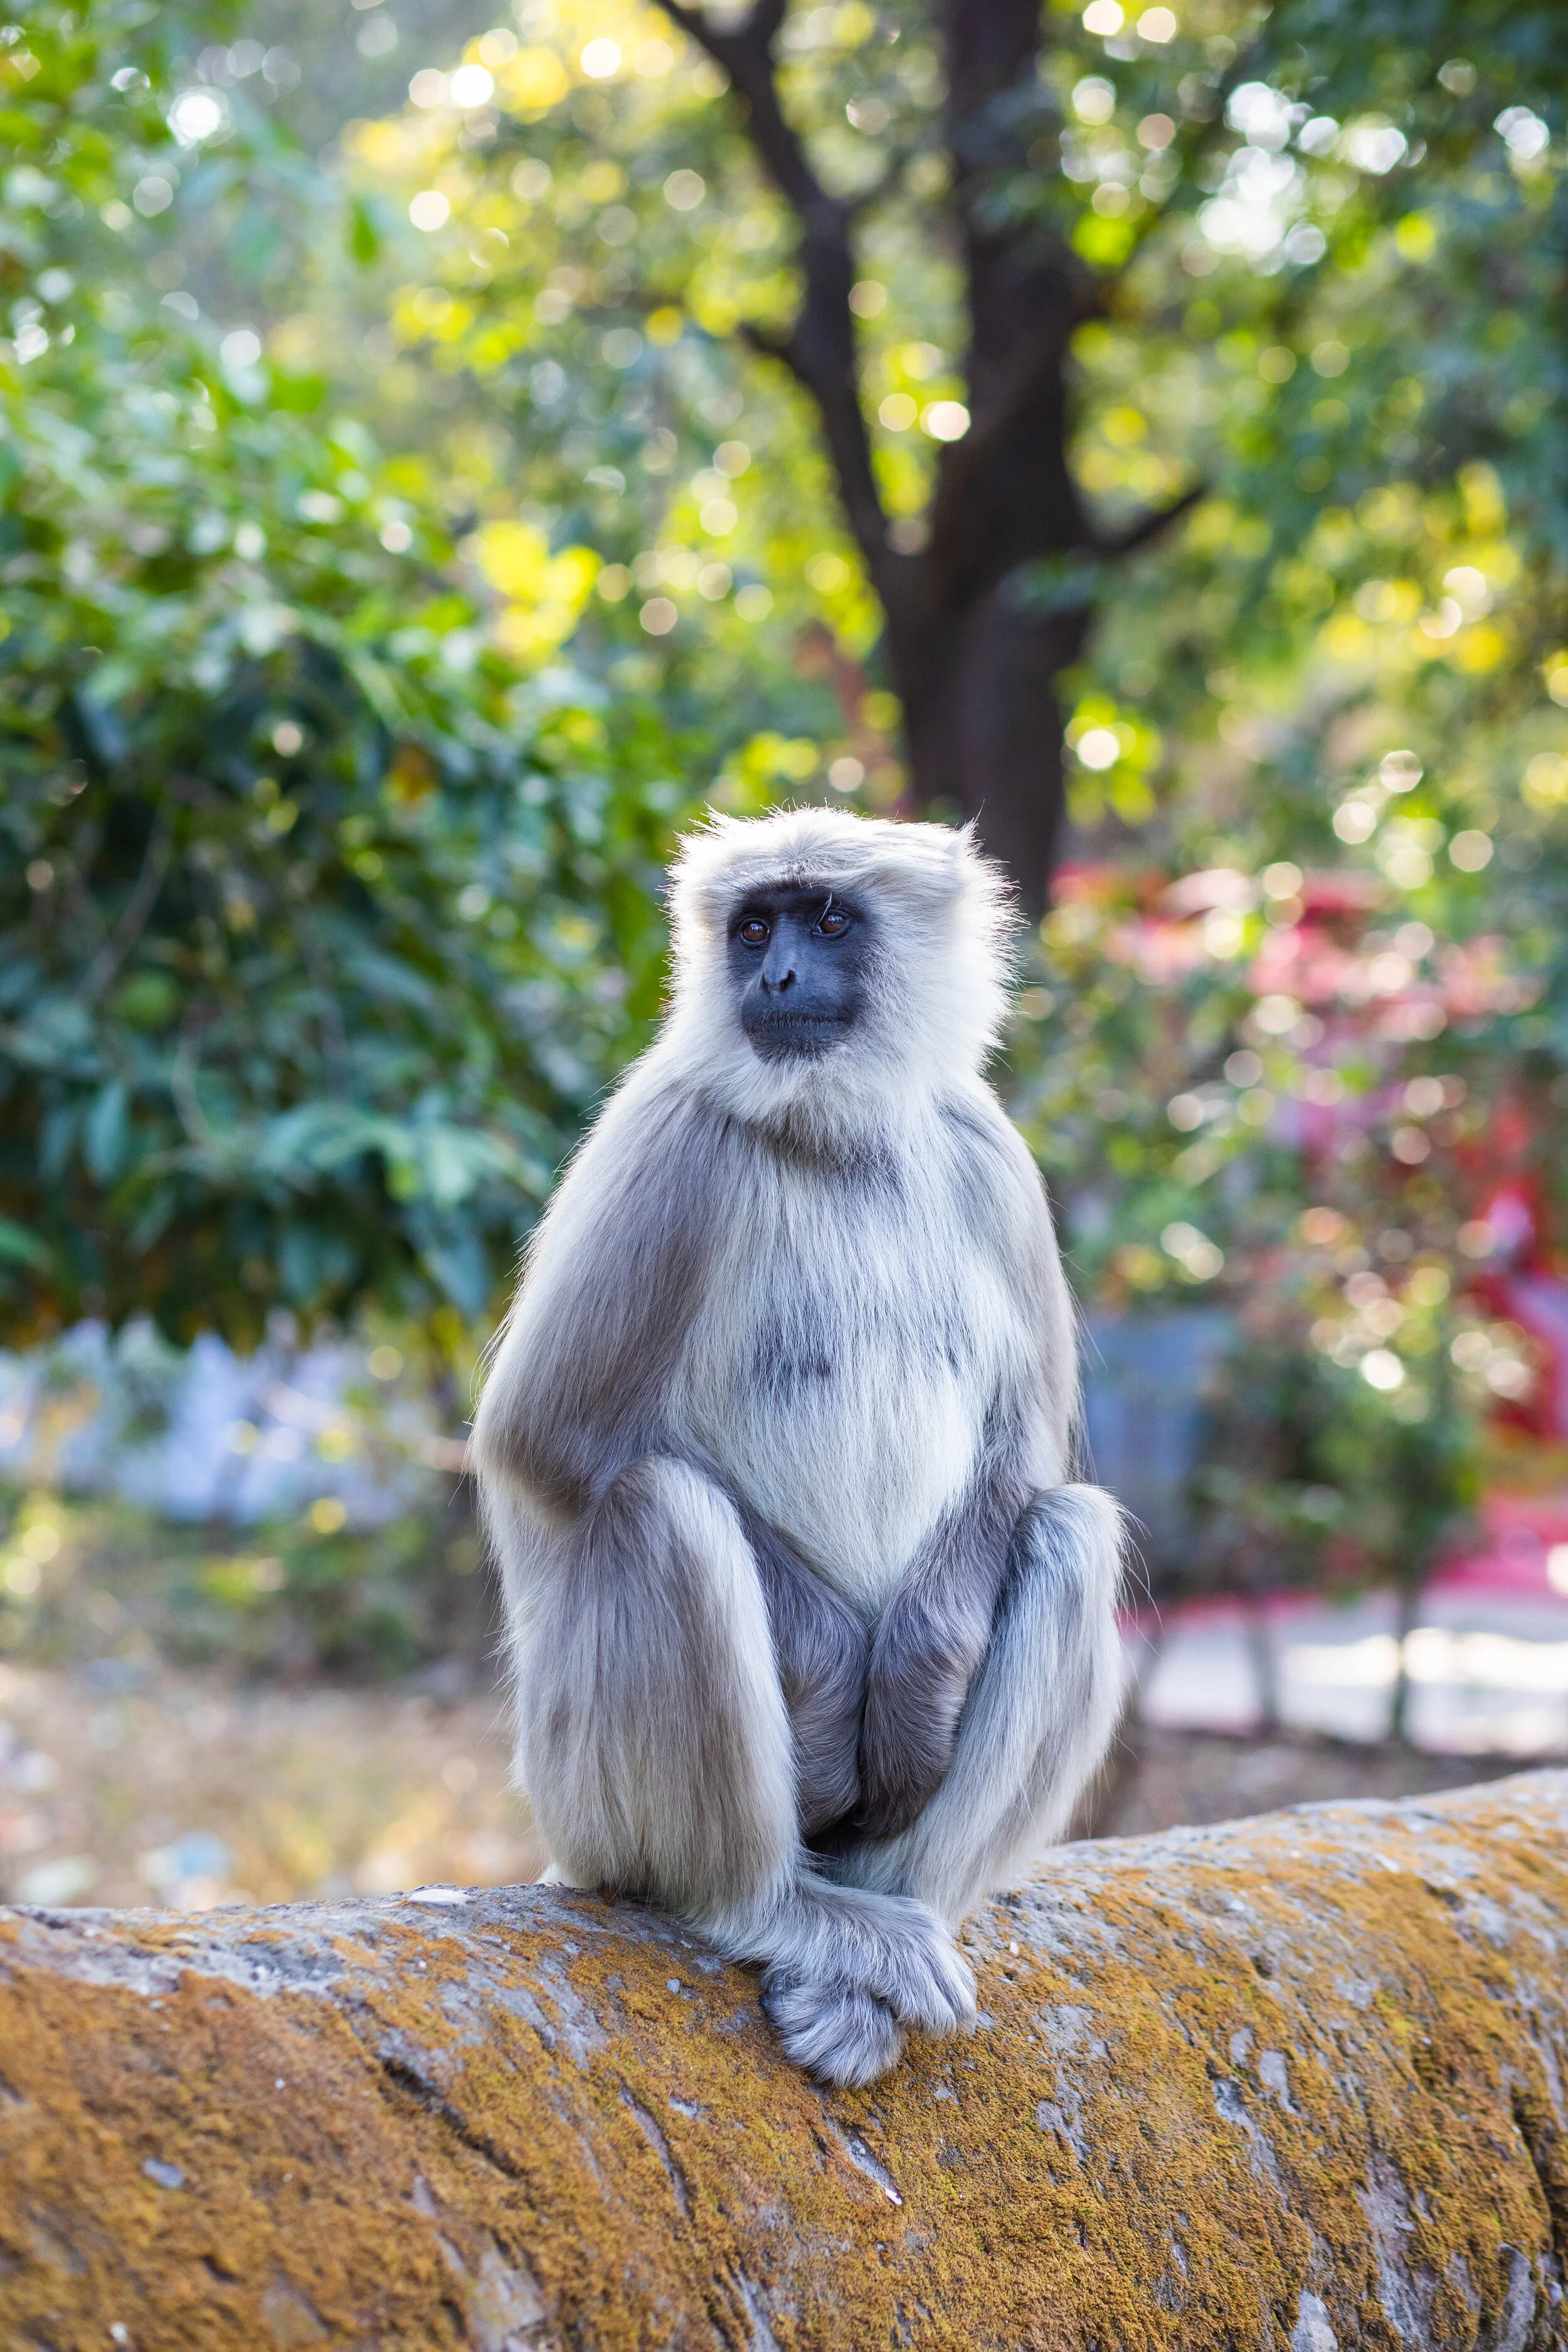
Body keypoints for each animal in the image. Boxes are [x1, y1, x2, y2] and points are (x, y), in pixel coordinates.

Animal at [471, 807, 1124, 2087]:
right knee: (662, 1506)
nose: (774, 978)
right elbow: (544, 1437)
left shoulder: (992, 1152)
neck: (840, 1134)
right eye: (754, 927)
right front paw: (826, 1711)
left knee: (1070, 1529)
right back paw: (772, 1910)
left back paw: (892, 1927)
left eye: (826, 920)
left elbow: (1026, 1451)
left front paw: (916, 1679)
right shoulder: (670, 1136)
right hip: (580, 1793)